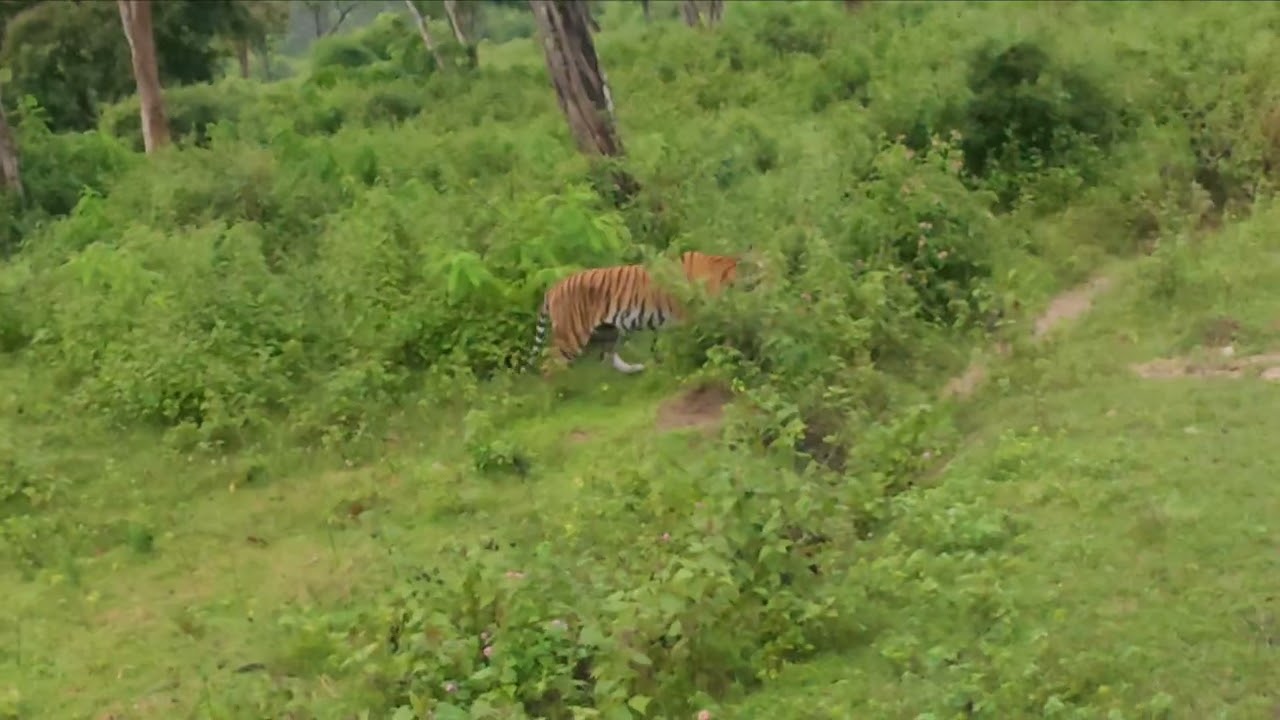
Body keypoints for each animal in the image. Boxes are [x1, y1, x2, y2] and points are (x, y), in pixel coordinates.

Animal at [523, 251, 740, 375]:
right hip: (571, 336)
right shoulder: (692, 316)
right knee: (549, 366)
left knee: (609, 357)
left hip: (609, 330)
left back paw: (638, 368)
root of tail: (553, 288)